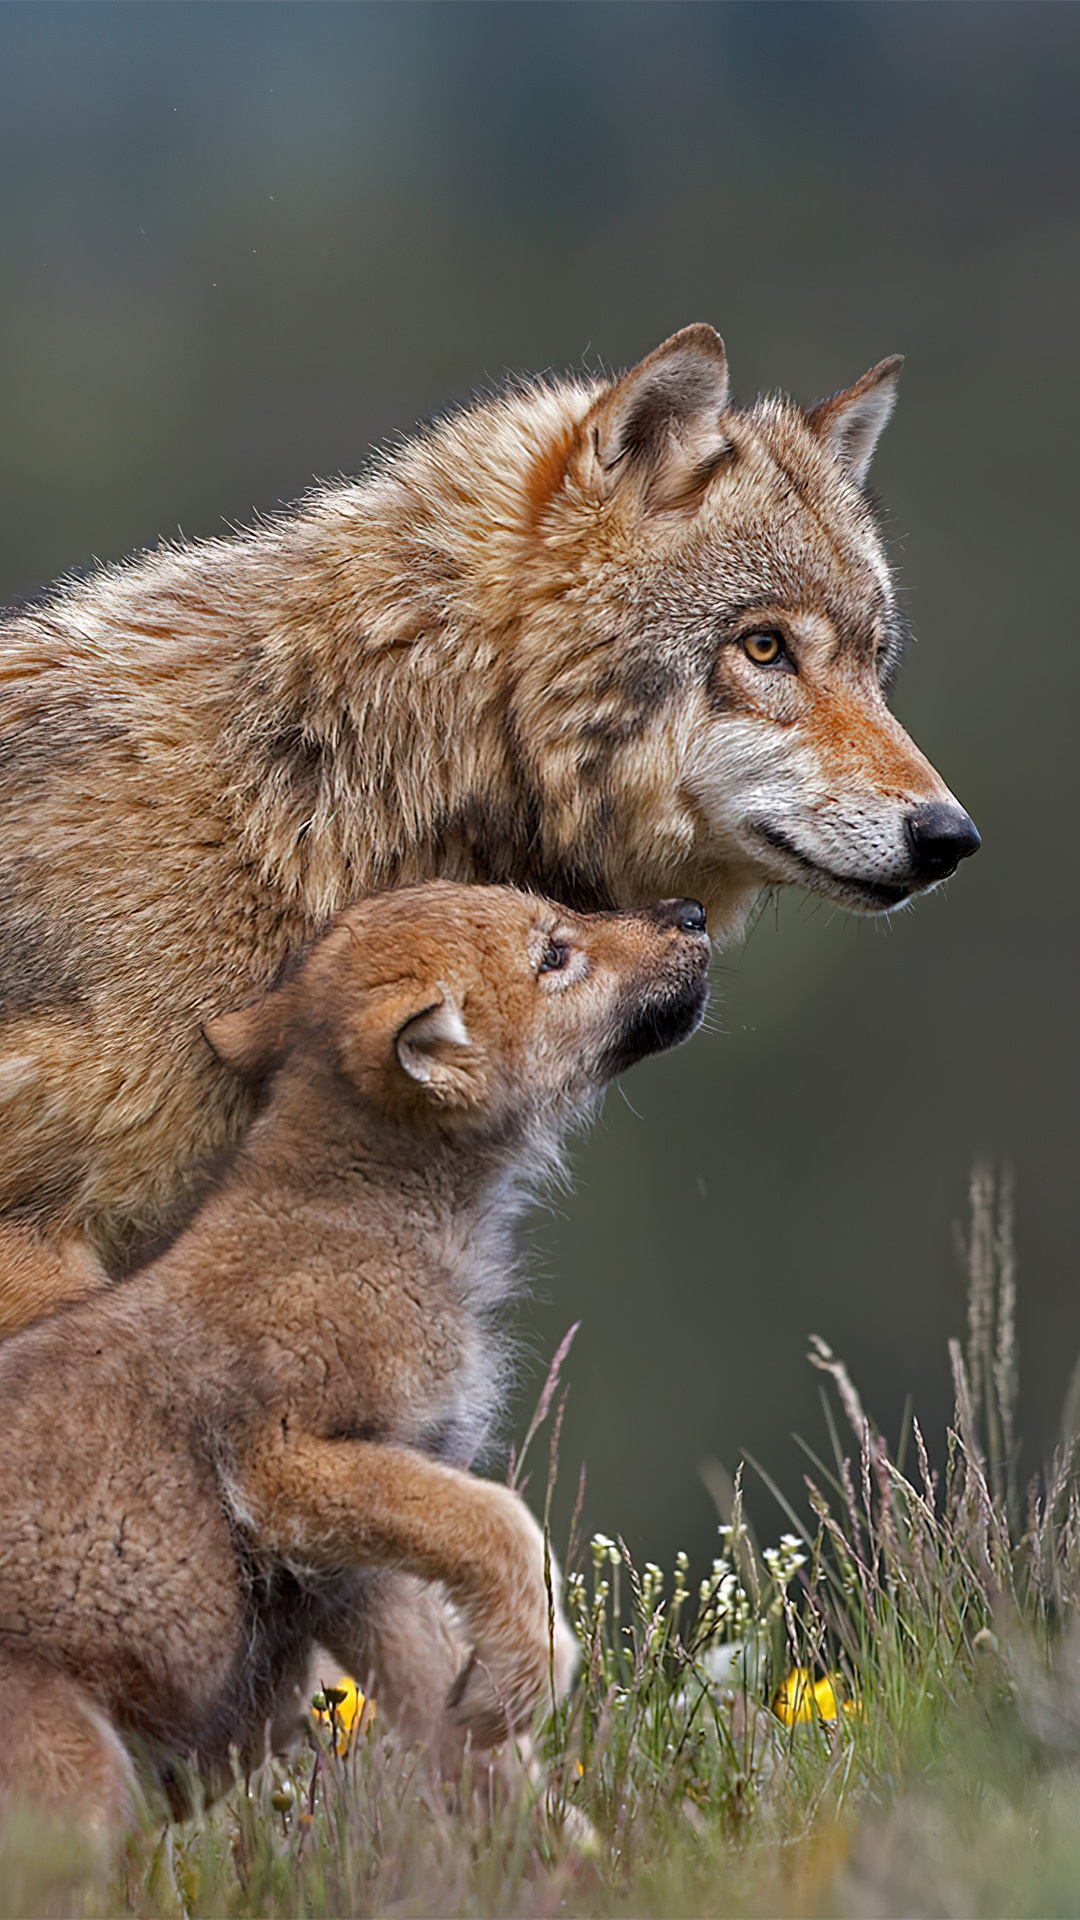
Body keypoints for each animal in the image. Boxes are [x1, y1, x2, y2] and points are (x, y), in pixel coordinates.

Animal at [0, 882, 709, 1831]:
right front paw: (533, 1679)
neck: (381, 1221)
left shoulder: (362, 1578)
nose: (691, 912)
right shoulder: (288, 1468)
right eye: (555, 955)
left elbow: (484, 1756)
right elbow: (507, 1527)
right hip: (77, 1779)